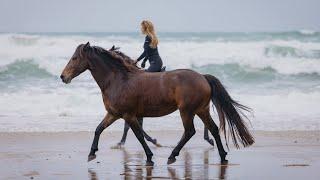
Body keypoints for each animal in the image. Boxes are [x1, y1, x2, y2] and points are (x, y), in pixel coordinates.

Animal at [60, 42, 255, 166]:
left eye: (75, 58)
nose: (63, 77)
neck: (118, 80)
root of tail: (202, 77)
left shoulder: (129, 115)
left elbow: (138, 135)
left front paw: (149, 157)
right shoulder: (114, 114)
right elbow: (99, 129)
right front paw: (92, 153)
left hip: (187, 111)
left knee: (190, 131)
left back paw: (172, 156)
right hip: (201, 110)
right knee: (213, 129)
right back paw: (223, 157)